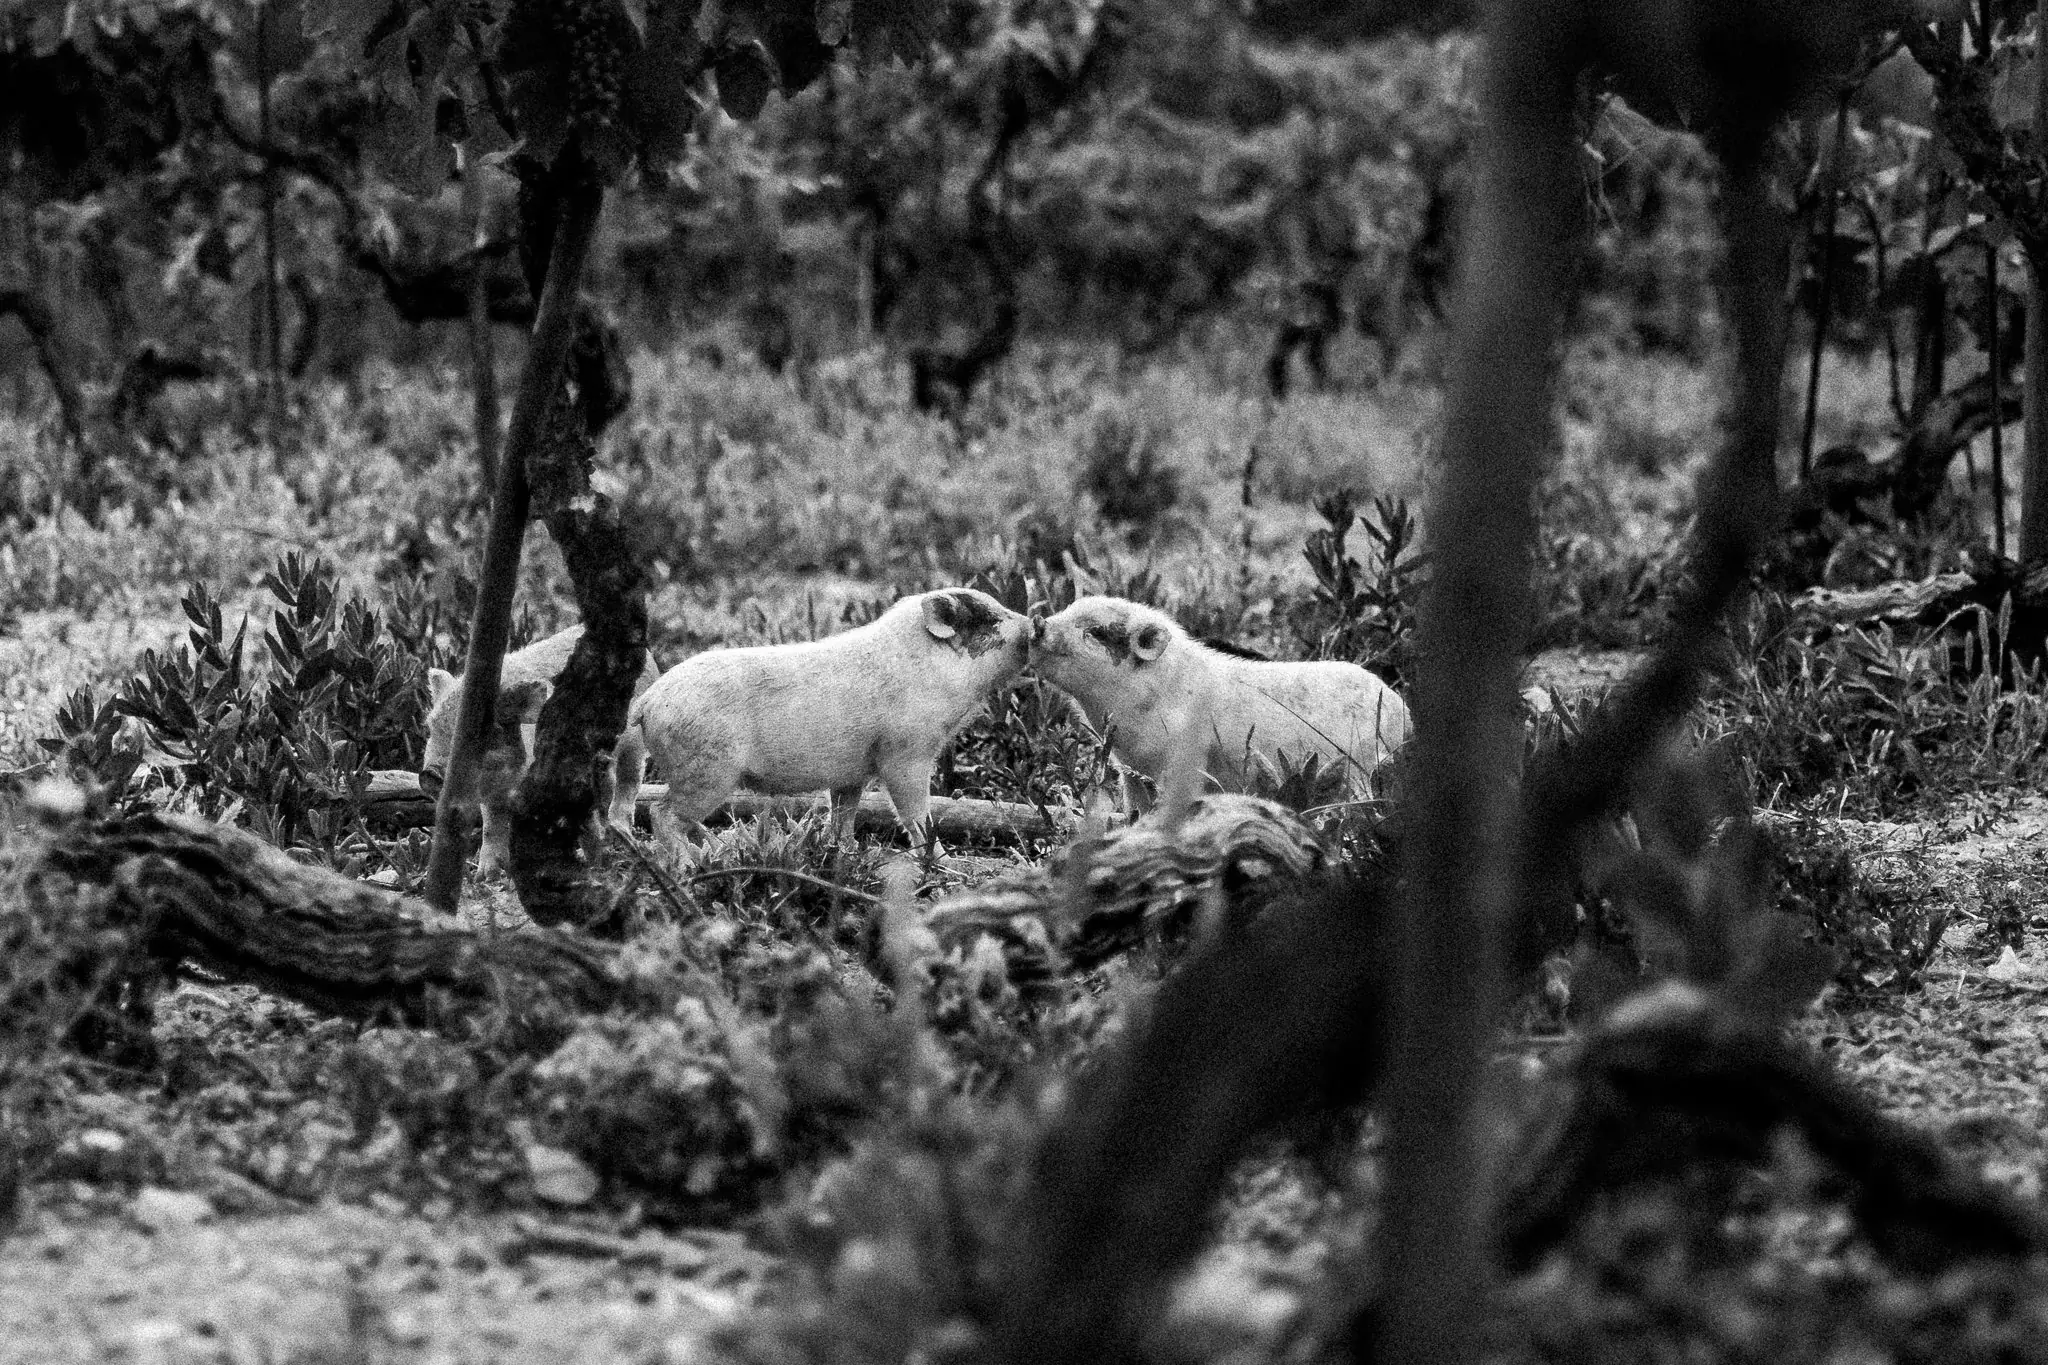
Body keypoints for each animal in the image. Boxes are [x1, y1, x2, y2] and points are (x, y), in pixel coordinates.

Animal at [419, 626, 657, 875]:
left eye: (480, 735)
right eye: (431, 726)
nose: (429, 773)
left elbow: (587, 826)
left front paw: (595, 867)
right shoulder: (492, 796)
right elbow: (491, 826)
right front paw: (485, 875)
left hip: (635, 742)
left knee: (629, 783)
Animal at [621, 587, 1030, 840]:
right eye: (990, 620)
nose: (1035, 624)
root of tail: (649, 701)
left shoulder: (853, 772)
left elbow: (844, 816)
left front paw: (844, 854)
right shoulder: (905, 753)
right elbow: (916, 815)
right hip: (706, 771)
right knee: (662, 814)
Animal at [1029, 595, 1411, 810]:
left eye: (1095, 632)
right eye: (1067, 608)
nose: (1037, 623)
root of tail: (1401, 708)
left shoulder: (1179, 764)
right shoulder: (1130, 772)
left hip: (1358, 769)